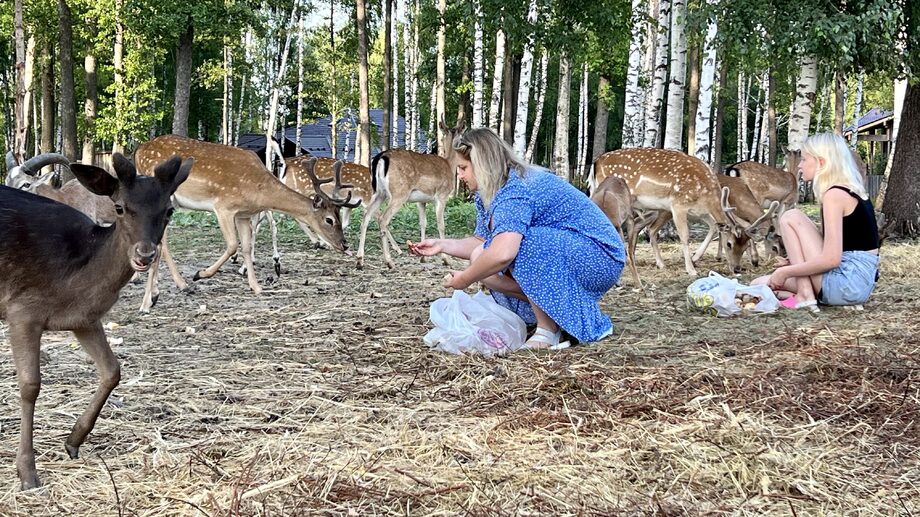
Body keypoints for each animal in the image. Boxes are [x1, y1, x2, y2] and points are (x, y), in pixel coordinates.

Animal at [0, 152, 190, 488]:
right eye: (120, 207)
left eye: (169, 210)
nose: (144, 254)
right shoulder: (21, 310)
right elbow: (30, 385)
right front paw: (28, 473)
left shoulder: (84, 319)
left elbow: (112, 370)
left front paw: (73, 441)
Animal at [135, 133, 358, 310]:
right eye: (329, 220)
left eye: (339, 215)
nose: (344, 244)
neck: (258, 191)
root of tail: (139, 150)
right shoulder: (224, 206)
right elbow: (233, 245)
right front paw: (201, 273)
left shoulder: (243, 215)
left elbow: (247, 247)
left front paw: (257, 286)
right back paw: (158, 294)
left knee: (162, 241)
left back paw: (171, 288)